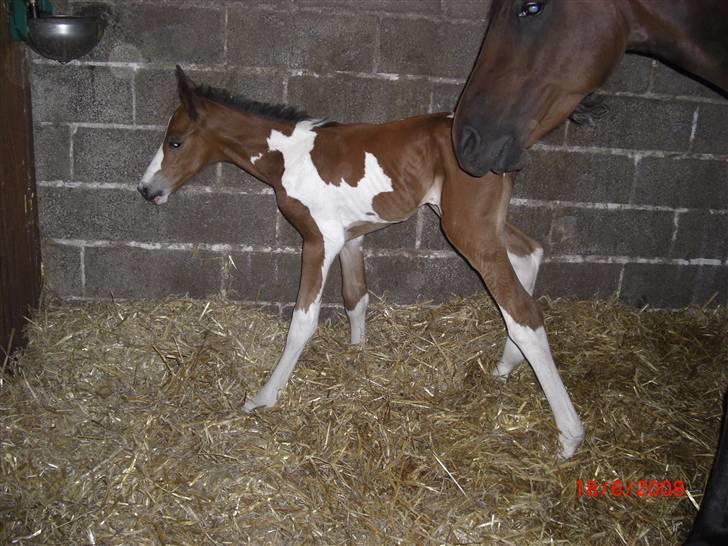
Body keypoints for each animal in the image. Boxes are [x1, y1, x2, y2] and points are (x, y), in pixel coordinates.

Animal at [138, 68, 584, 460]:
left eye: (175, 142)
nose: (145, 190)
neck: (289, 157)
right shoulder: (350, 237)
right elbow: (355, 297)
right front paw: (357, 357)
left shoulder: (320, 239)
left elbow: (303, 321)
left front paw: (263, 398)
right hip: (477, 222)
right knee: (530, 253)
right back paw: (505, 366)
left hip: (466, 227)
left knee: (522, 310)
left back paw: (569, 436)